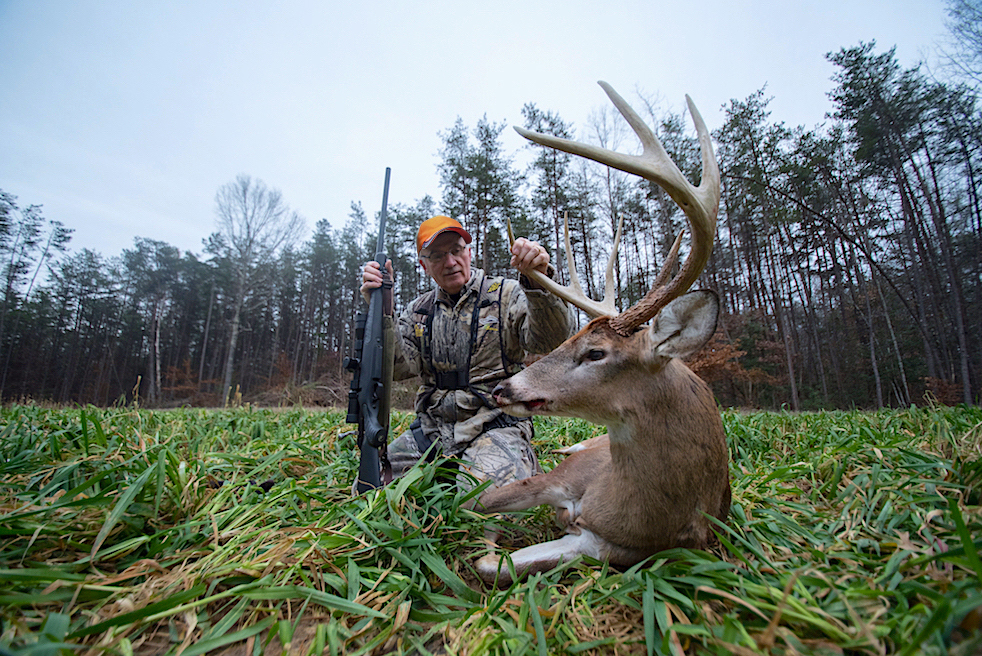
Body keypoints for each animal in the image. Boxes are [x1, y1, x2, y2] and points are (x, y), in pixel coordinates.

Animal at [474, 81, 730, 585]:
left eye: (595, 353)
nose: (502, 389)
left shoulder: (610, 548)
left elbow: (491, 562)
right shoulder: (570, 475)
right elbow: (484, 506)